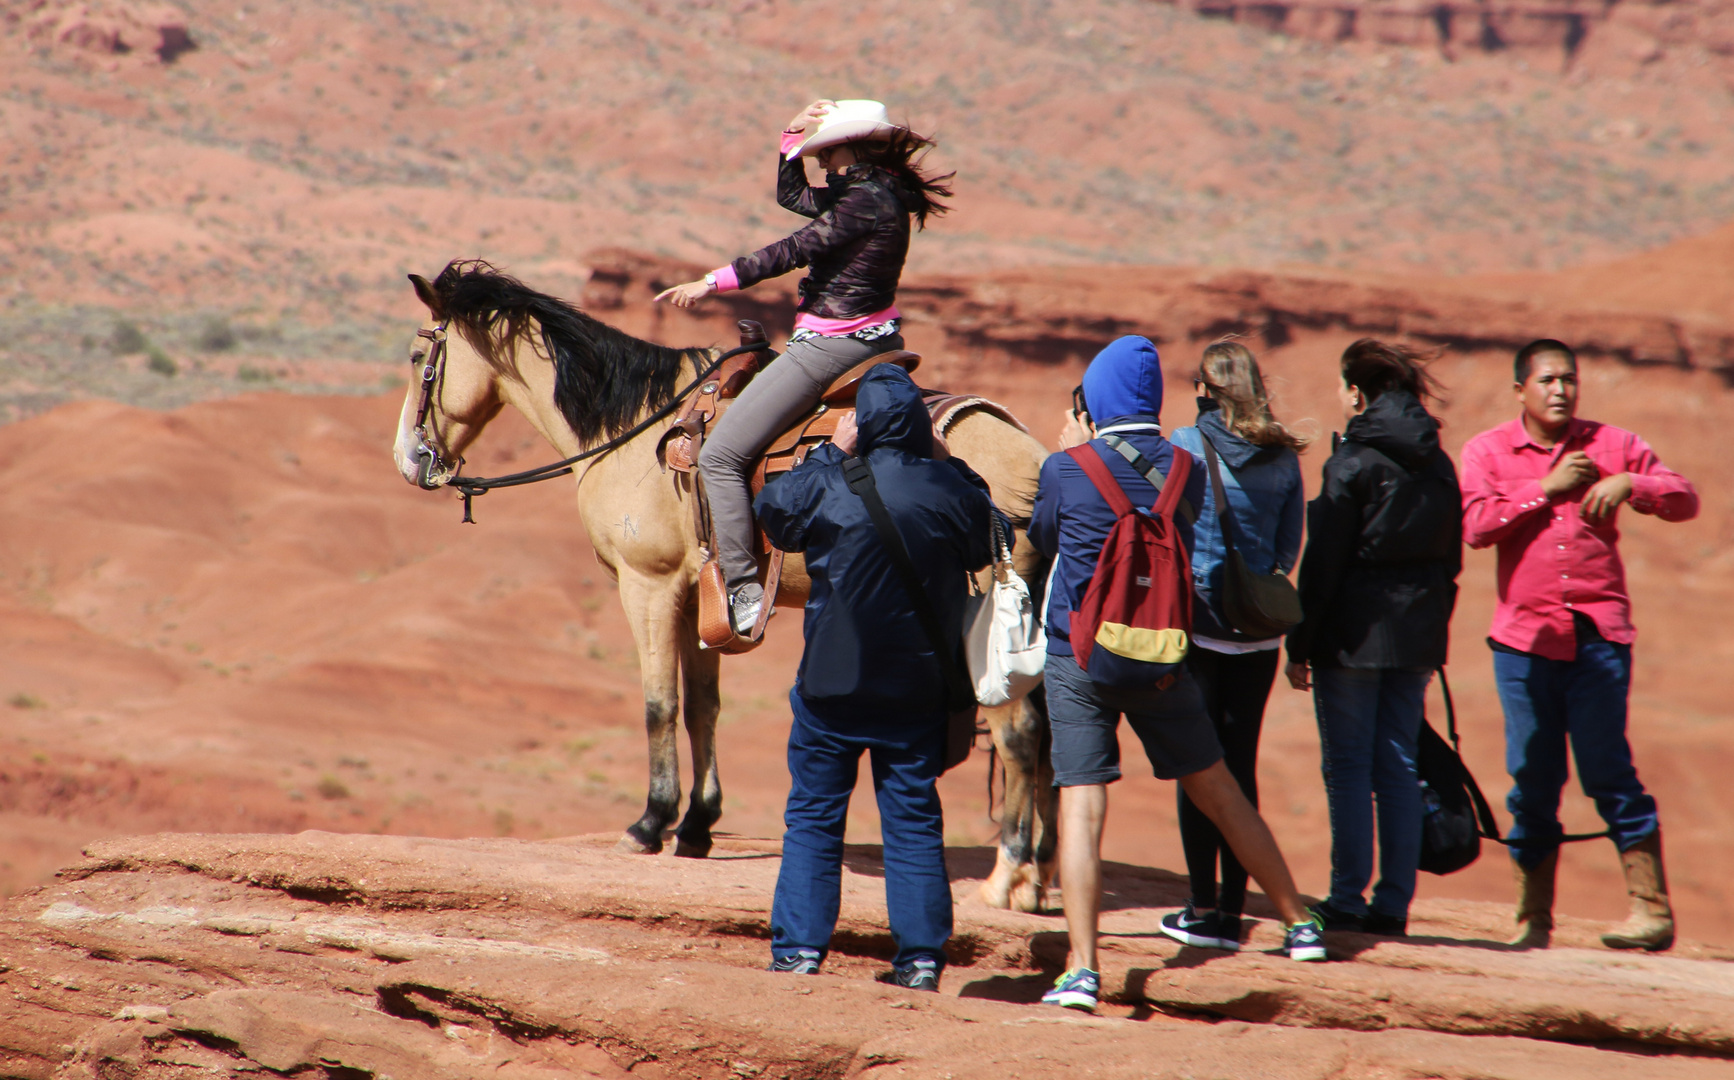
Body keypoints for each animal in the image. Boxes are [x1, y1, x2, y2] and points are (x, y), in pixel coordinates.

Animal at [395, 261, 1054, 915]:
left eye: (417, 355)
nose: (407, 459)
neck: (637, 431)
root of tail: (1033, 459)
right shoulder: (698, 598)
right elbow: (702, 708)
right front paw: (695, 826)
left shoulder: (649, 587)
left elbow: (659, 704)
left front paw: (650, 823)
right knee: (1048, 737)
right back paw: (1040, 877)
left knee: (1019, 736)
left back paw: (1008, 875)